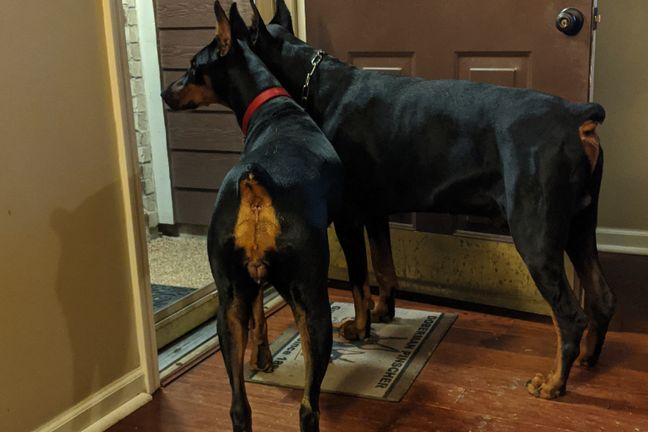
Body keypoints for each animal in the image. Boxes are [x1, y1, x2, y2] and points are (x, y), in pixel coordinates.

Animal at [162, 3, 344, 431]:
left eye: (193, 66)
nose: (164, 92)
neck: (274, 107)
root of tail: (257, 181)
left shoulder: (244, 281)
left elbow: (259, 309)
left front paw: (260, 357)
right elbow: (263, 312)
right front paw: (264, 356)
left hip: (227, 300)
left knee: (239, 407)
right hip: (311, 297)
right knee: (308, 406)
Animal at [245, 0, 615, 403]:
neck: (316, 84)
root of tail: (576, 115)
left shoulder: (348, 217)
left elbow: (359, 281)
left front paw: (360, 327)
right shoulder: (375, 212)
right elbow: (384, 268)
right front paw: (384, 310)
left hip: (536, 236)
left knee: (570, 316)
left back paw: (553, 383)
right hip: (580, 224)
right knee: (602, 297)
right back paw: (589, 358)